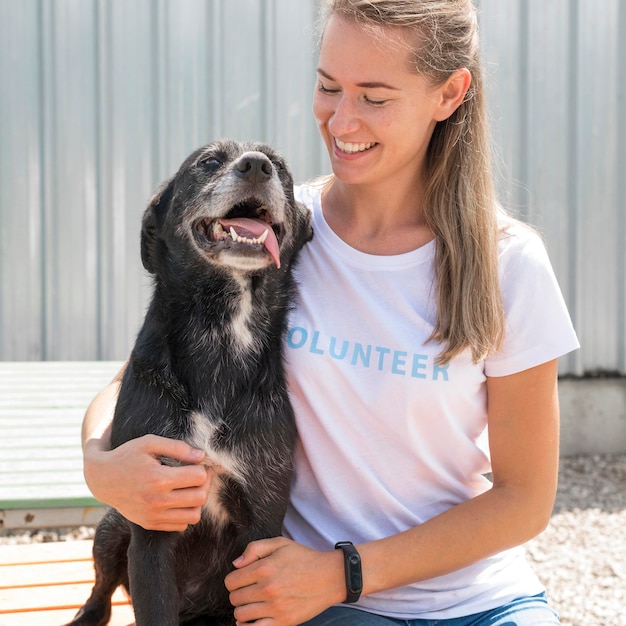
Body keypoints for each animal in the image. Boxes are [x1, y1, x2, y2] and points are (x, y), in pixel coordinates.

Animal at [67, 140, 310, 624]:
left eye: (281, 168)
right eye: (209, 162)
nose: (257, 166)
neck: (221, 332)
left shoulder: (261, 526)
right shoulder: (151, 523)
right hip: (111, 525)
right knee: (101, 591)